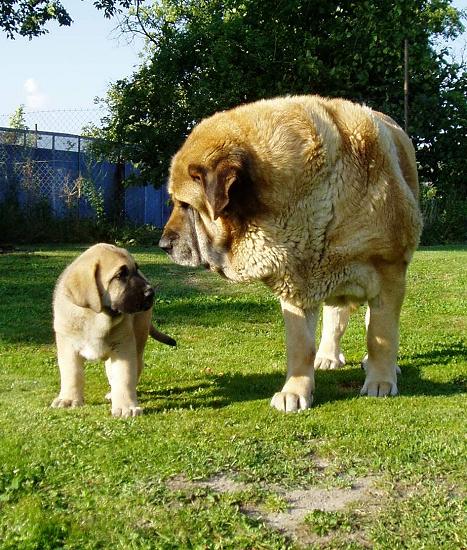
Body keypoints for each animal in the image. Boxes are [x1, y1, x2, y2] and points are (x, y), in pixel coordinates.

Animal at [51, 244, 176, 420]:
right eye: (120, 275)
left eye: (136, 269)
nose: (150, 292)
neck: (95, 317)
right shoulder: (68, 347)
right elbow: (72, 373)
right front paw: (68, 399)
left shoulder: (123, 347)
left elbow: (124, 378)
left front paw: (126, 407)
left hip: (138, 340)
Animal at [160, 96, 424, 414]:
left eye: (185, 205)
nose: (163, 244)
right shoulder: (296, 282)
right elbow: (300, 346)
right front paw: (295, 392)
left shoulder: (388, 272)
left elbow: (380, 334)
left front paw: (381, 380)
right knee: (335, 315)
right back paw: (328, 355)